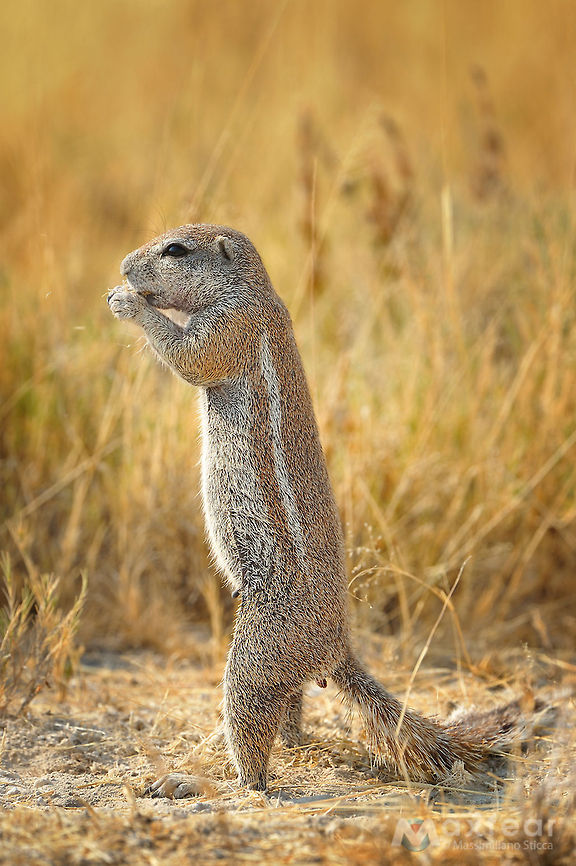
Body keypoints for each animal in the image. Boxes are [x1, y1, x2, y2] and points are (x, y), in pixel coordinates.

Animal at [107, 224, 527, 795]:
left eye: (176, 250)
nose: (124, 266)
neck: (250, 292)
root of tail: (336, 648)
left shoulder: (228, 328)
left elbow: (188, 357)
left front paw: (126, 301)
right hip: (283, 672)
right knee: (289, 715)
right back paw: (275, 746)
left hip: (258, 653)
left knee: (254, 742)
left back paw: (212, 780)